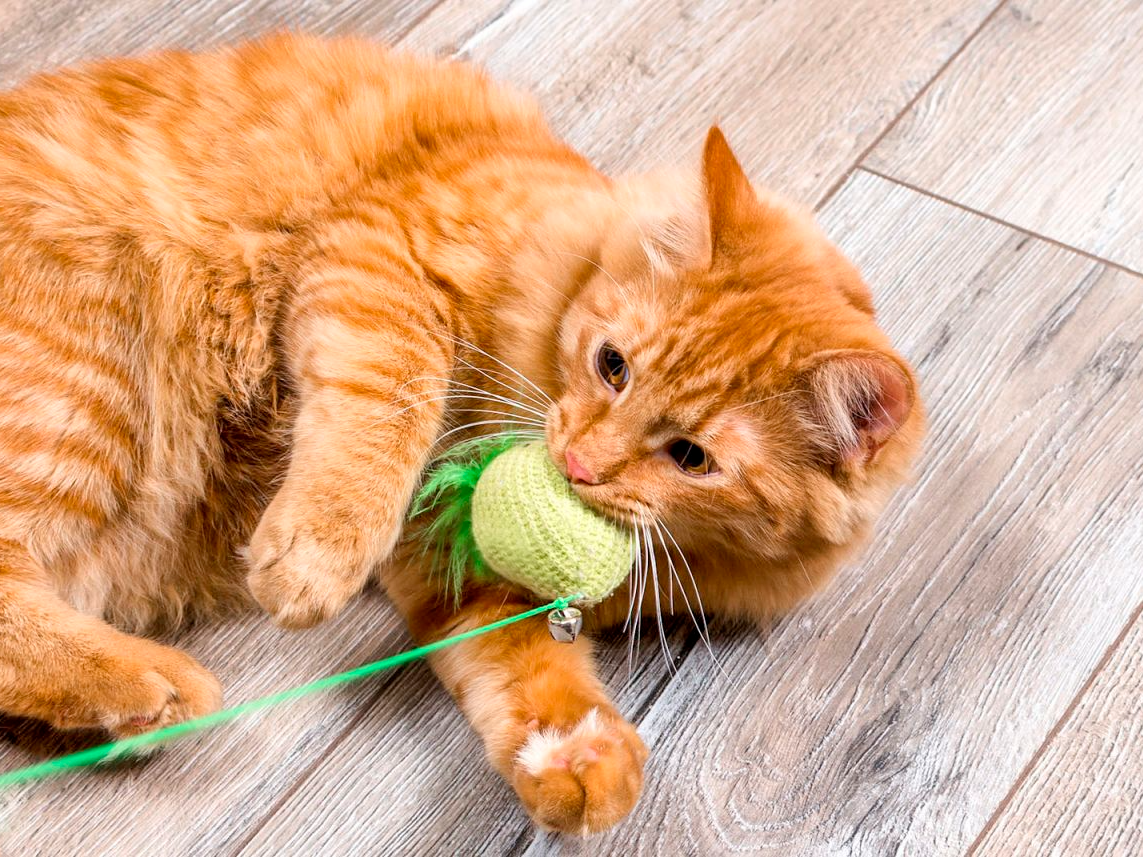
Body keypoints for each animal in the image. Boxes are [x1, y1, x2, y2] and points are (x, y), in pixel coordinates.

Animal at [0, 33, 918, 831]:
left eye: (691, 457)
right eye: (612, 365)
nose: (577, 462)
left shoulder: (464, 580)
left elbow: (527, 670)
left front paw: (577, 755)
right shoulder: (379, 258)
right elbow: (392, 401)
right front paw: (316, 554)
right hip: (90, 385)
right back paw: (156, 686)